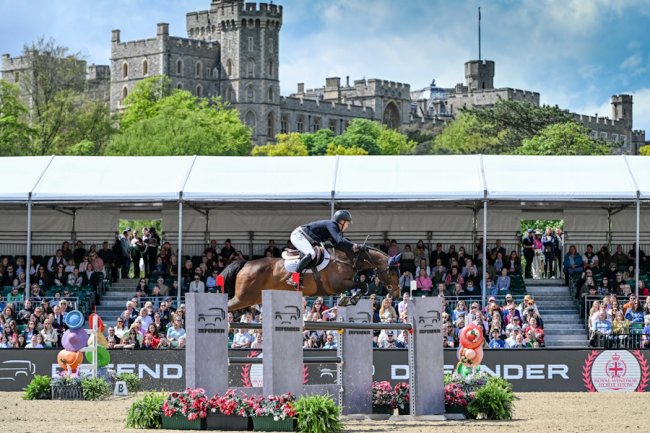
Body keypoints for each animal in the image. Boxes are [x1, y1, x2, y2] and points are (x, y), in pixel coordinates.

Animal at [221, 246, 400, 311]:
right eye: (392, 273)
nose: (397, 293)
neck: (347, 259)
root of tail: (246, 263)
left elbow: (362, 285)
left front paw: (349, 299)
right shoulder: (336, 285)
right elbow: (362, 285)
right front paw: (350, 299)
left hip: (254, 297)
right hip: (244, 297)